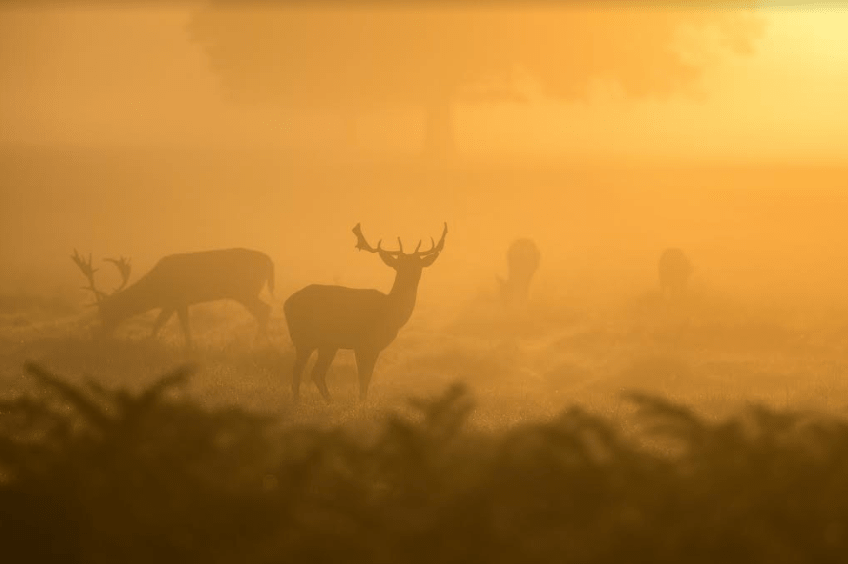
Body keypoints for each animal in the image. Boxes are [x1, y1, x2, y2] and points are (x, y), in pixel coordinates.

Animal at [72, 248, 274, 348]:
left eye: (107, 311)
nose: (99, 336)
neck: (156, 291)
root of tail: (269, 261)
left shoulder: (178, 299)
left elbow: (178, 324)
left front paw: (188, 347)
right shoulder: (171, 303)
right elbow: (160, 323)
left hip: (245, 290)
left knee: (264, 309)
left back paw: (258, 343)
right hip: (246, 291)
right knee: (264, 309)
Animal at [282, 223, 448, 404]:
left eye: (418, 265)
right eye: (399, 265)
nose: (410, 278)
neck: (391, 312)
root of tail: (286, 303)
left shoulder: (374, 346)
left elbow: (367, 378)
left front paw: (362, 401)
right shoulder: (363, 343)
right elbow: (364, 378)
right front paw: (361, 403)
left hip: (327, 343)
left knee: (316, 372)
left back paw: (329, 401)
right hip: (304, 338)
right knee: (298, 370)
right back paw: (299, 401)